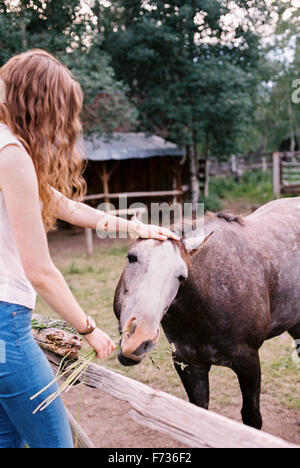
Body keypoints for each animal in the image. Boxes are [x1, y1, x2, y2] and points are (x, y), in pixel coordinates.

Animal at [113, 196, 300, 430]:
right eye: (131, 257)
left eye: (181, 276)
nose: (139, 338)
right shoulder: (189, 364)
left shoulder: (249, 363)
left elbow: (251, 418)